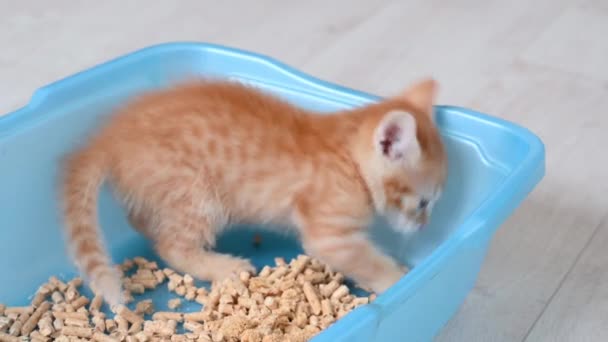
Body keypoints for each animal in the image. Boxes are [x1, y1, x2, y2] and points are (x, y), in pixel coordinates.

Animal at [61, 77, 446, 304]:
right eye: (423, 203)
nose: (425, 225)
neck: (347, 156)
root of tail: (110, 137)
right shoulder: (328, 234)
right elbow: (366, 260)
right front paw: (397, 278)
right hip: (196, 195)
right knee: (171, 245)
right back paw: (223, 266)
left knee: (143, 221)